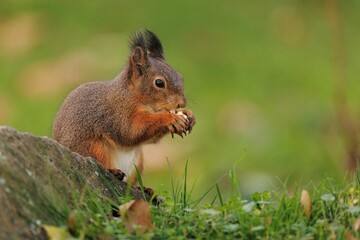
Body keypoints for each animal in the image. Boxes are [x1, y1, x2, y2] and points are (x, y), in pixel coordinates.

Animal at [52, 29, 195, 184]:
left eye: (180, 77)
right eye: (159, 83)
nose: (181, 103)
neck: (133, 95)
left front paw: (189, 115)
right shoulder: (118, 114)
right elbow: (131, 131)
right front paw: (171, 118)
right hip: (95, 148)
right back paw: (114, 172)